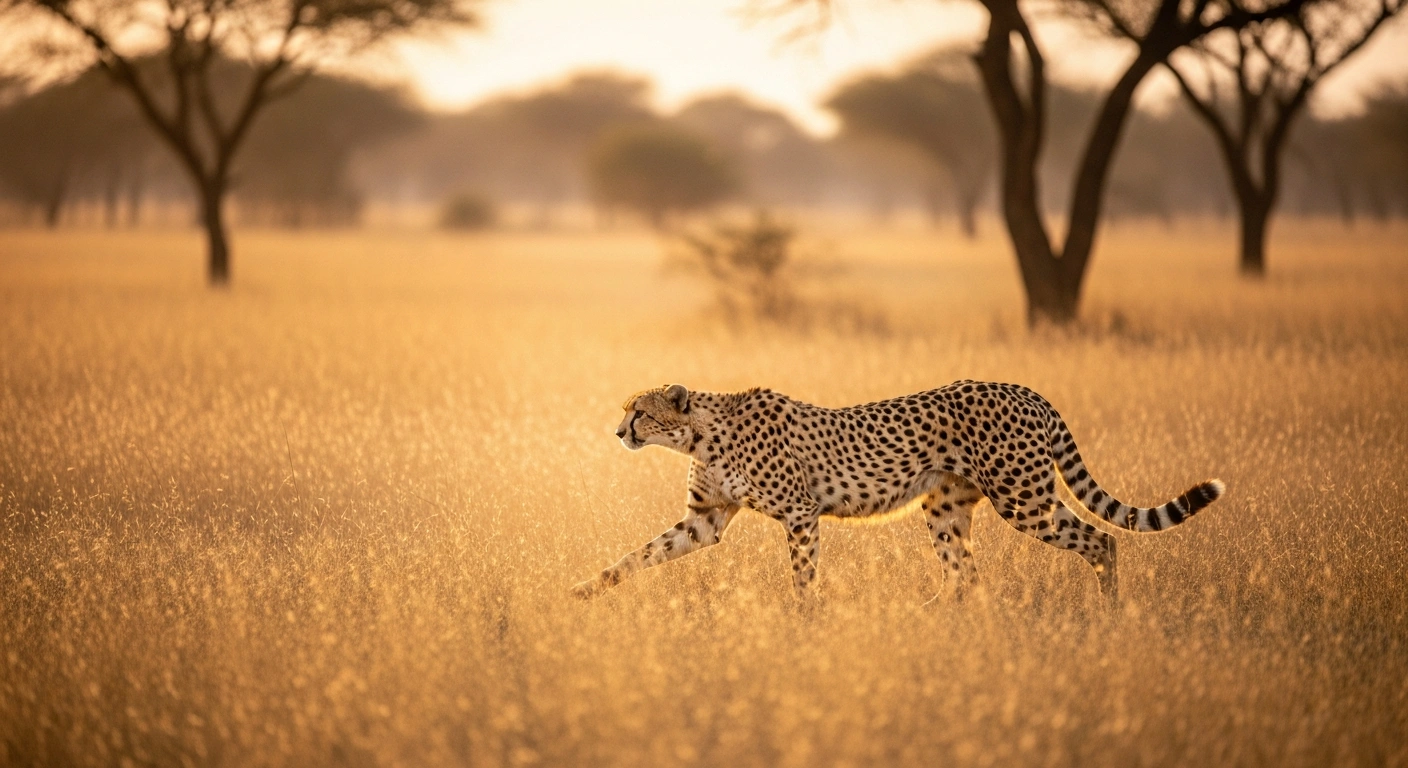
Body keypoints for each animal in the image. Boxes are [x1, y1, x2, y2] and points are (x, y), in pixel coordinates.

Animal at [571, 381, 1224, 602]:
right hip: (944, 508)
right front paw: (584, 591)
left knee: (1101, 542)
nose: (619, 431)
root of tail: (1026, 390)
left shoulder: (801, 513)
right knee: (965, 575)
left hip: (1024, 499)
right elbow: (641, 553)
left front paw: (804, 624)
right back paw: (928, 624)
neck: (702, 435)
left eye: (640, 412)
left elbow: (802, 577)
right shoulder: (705, 521)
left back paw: (1108, 616)